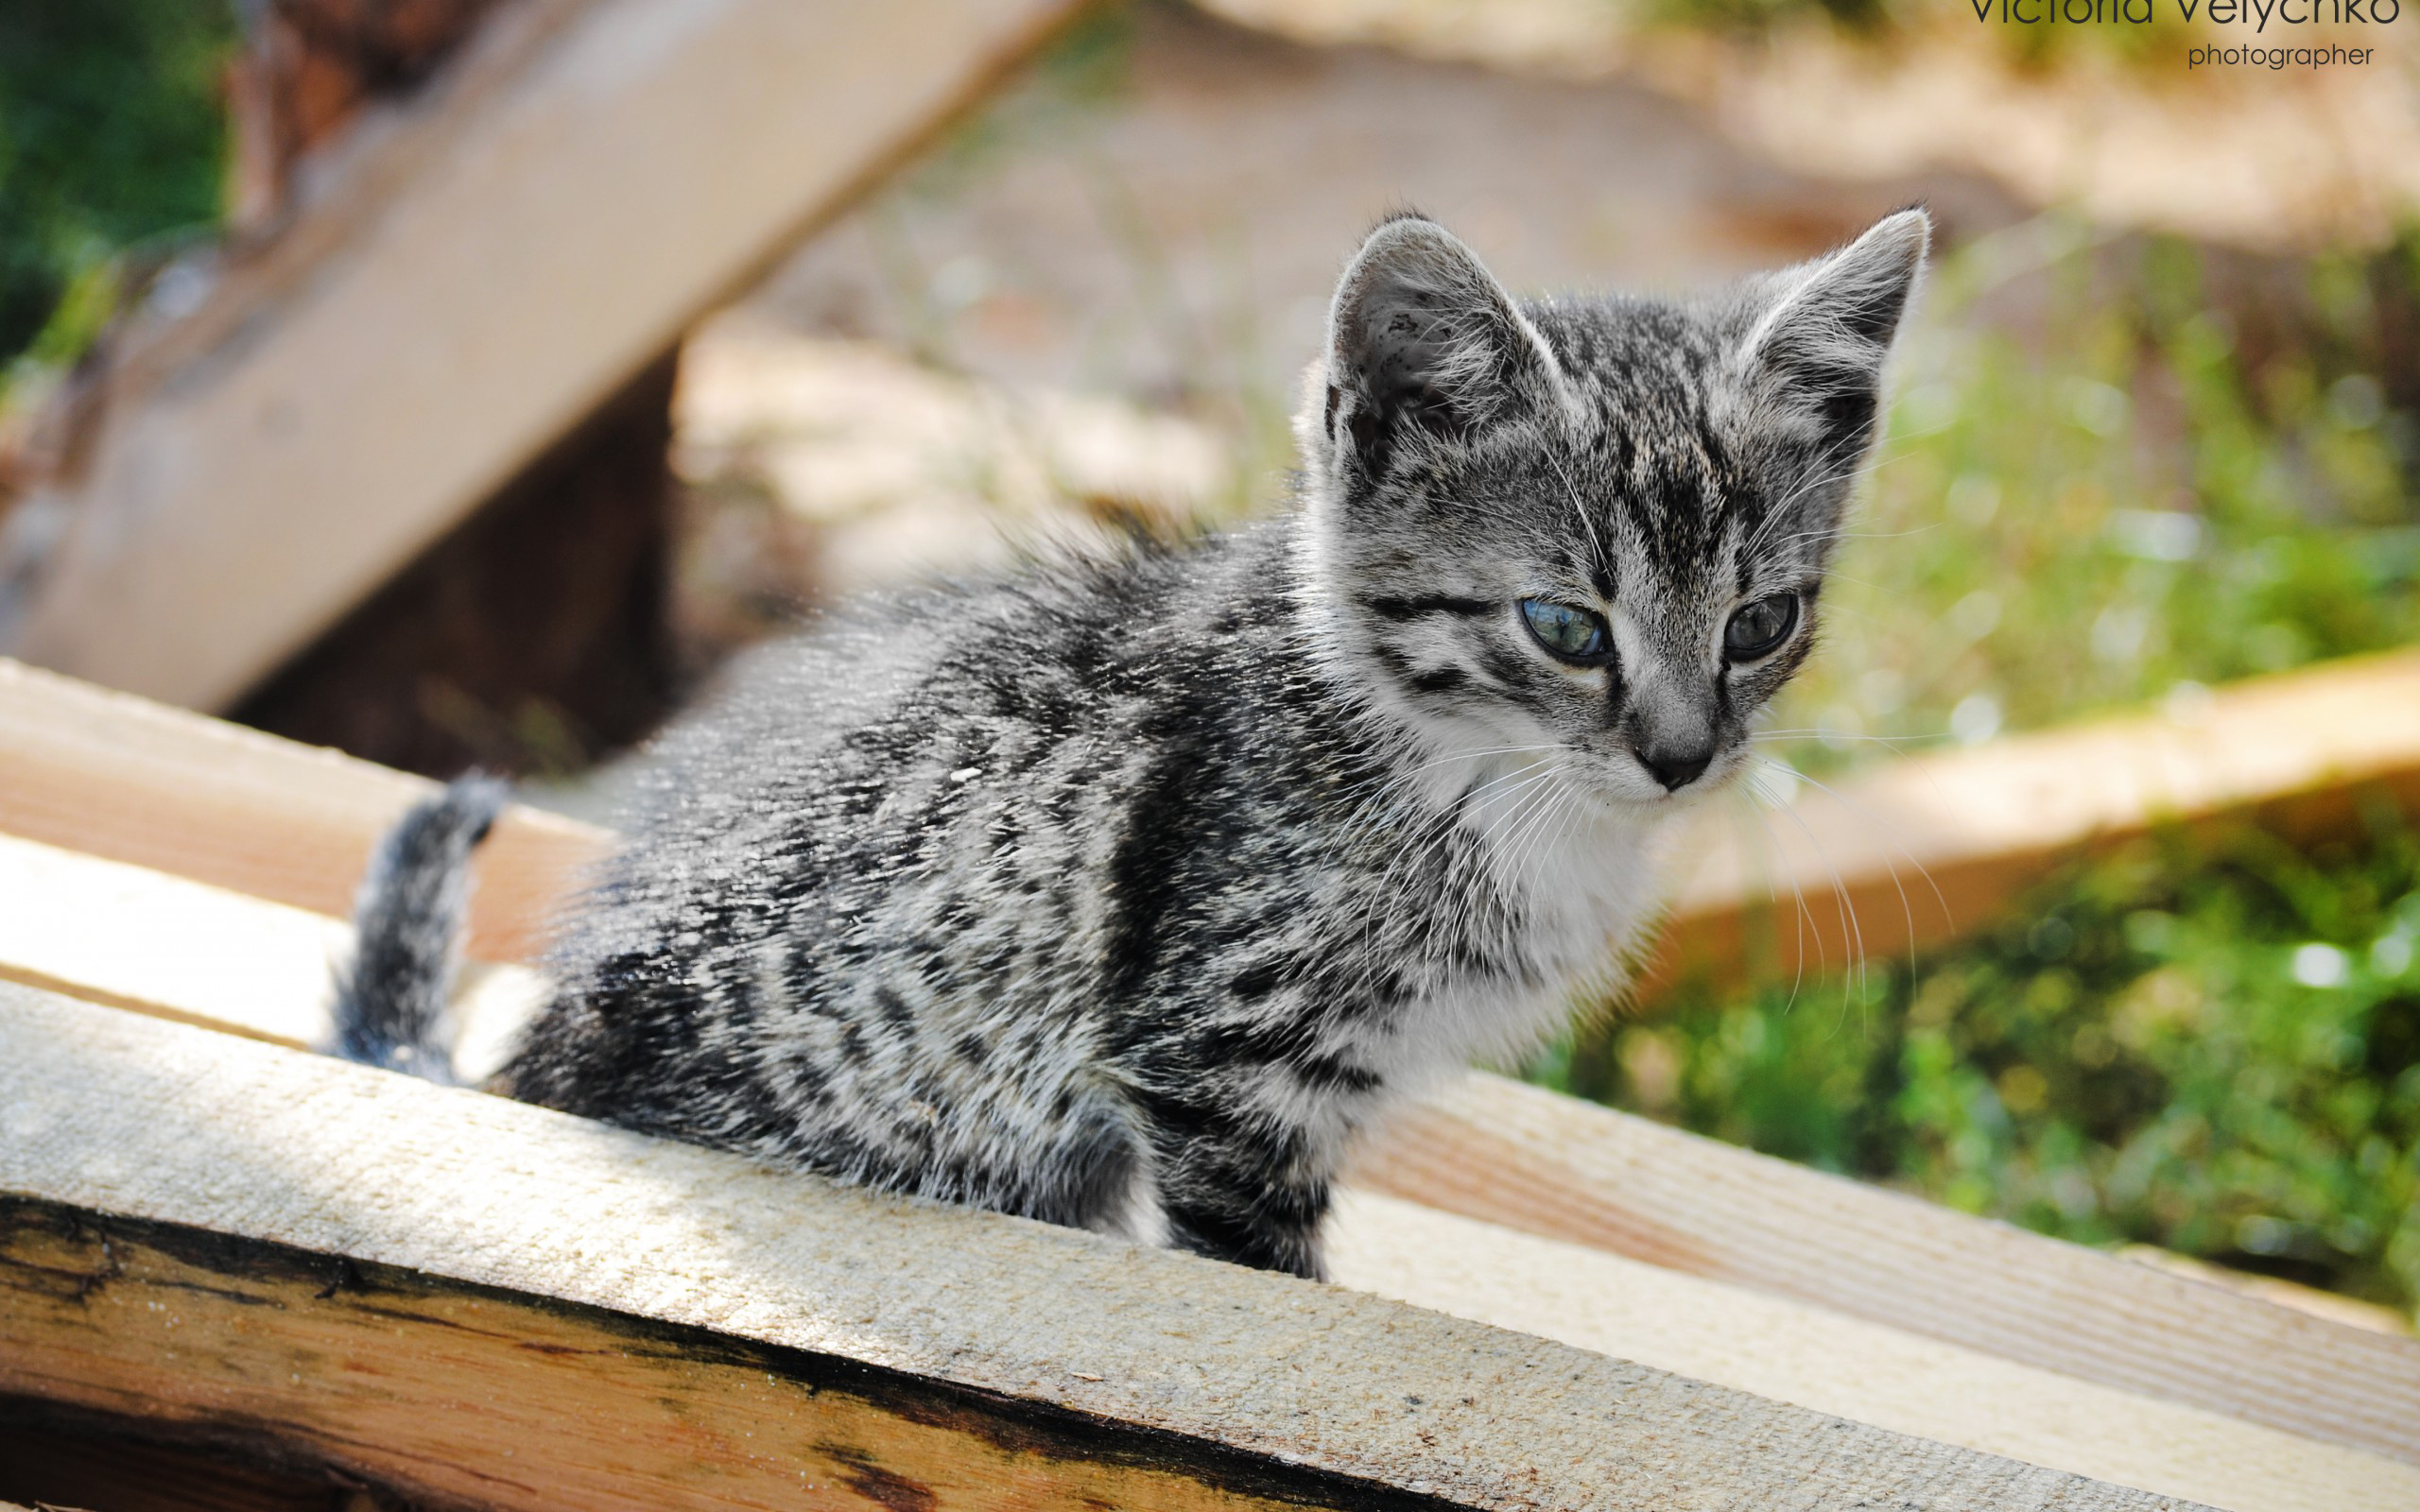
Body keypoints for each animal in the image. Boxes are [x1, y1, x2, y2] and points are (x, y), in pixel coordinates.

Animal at [336, 209, 1926, 1277]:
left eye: (1761, 623)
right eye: (1565, 627)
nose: (1684, 756)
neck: (1466, 768)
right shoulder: (1226, 1055)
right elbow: (1257, 1271)